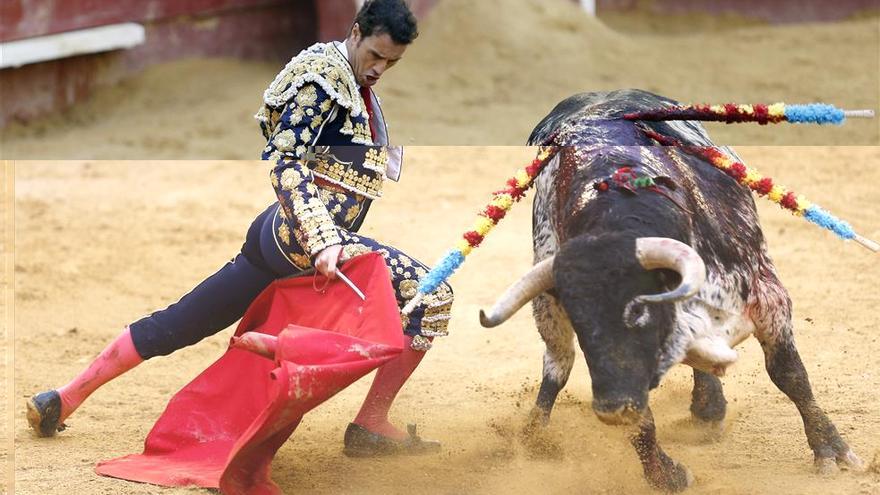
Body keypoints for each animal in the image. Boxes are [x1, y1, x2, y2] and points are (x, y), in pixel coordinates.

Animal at [482, 89, 860, 492]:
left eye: (641, 313)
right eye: (584, 327)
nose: (612, 409)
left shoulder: (768, 296)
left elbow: (790, 375)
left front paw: (831, 450)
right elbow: (641, 417)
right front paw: (665, 473)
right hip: (546, 304)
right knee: (557, 366)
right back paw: (535, 438)